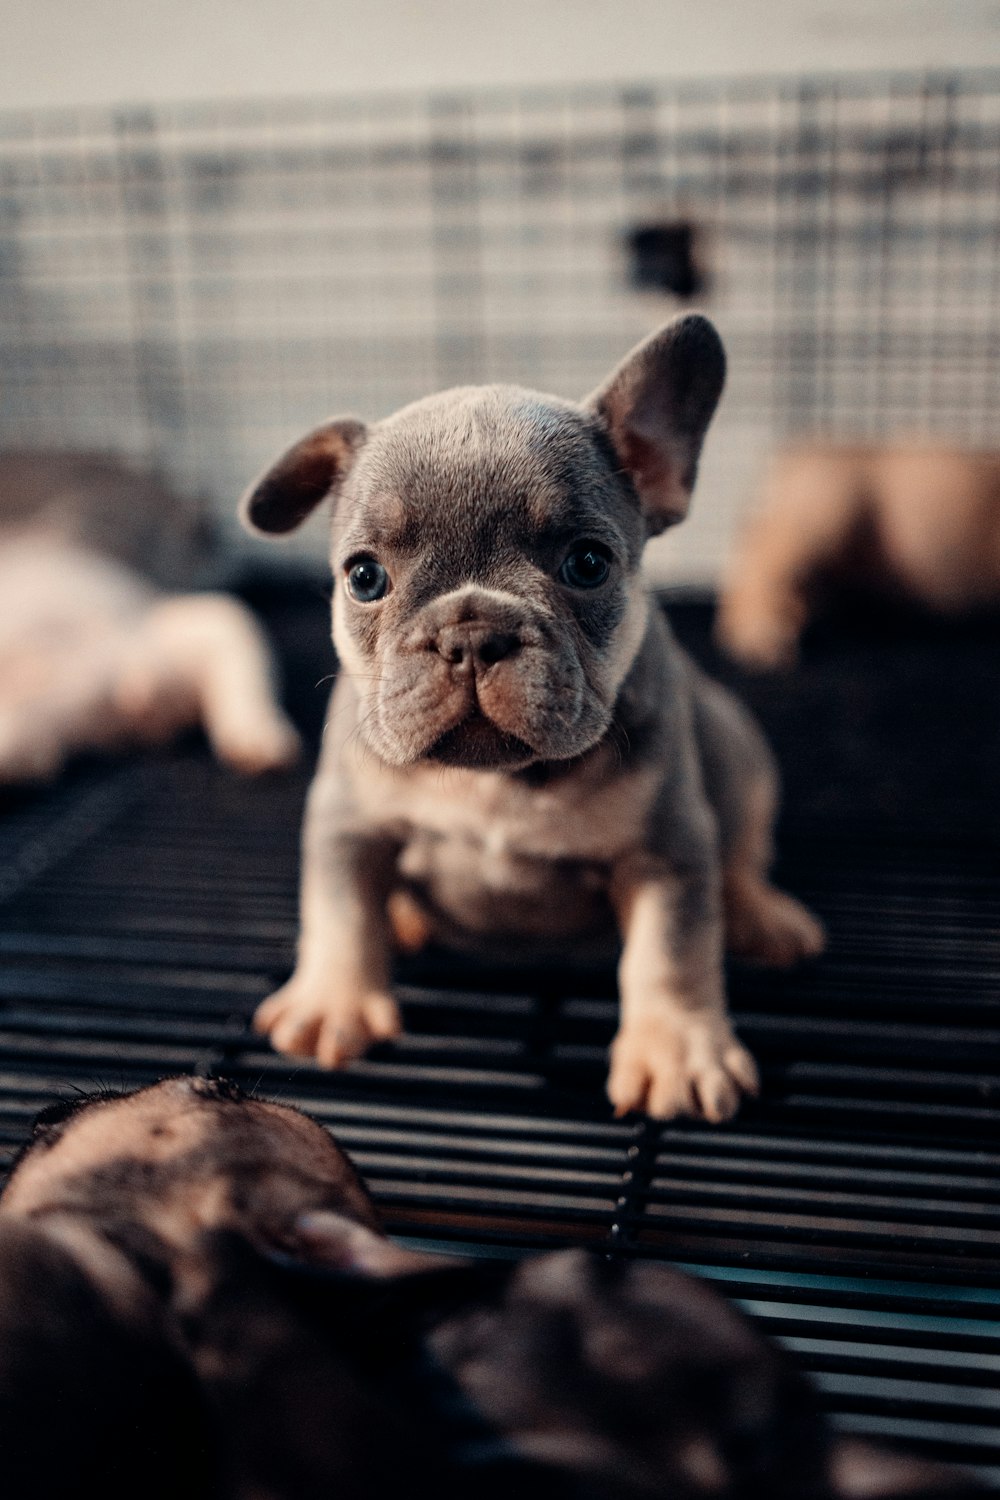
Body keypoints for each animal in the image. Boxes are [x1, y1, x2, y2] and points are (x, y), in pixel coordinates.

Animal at [239, 313, 821, 1116]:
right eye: (364, 577)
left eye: (588, 564)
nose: (471, 634)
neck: (497, 780)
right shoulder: (347, 821)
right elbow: (340, 909)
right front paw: (334, 1001)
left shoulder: (666, 847)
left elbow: (670, 951)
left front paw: (676, 1050)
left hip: (738, 754)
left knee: (742, 853)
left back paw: (763, 915)